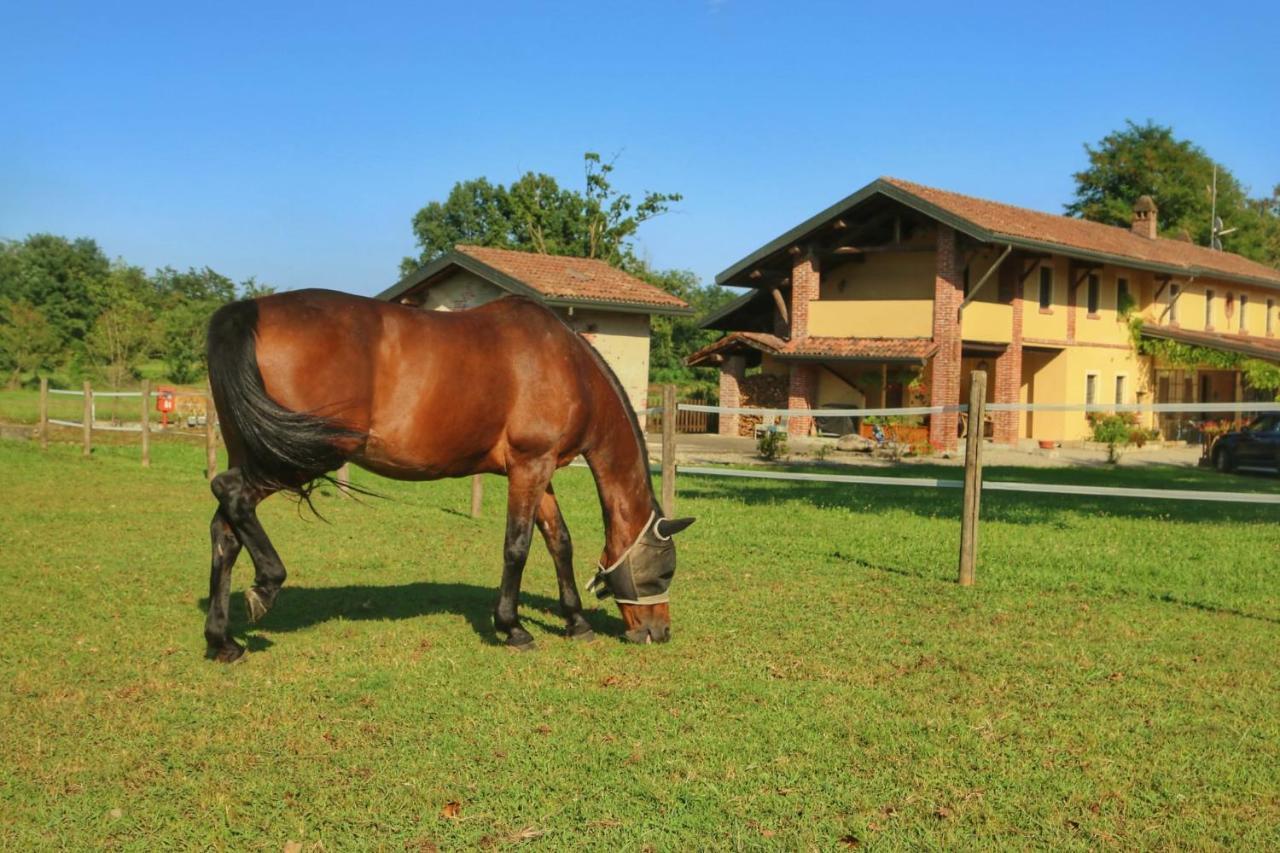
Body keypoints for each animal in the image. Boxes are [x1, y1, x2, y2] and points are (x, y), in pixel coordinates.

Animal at [203, 285, 696, 655]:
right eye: (665, 571)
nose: (659, 632)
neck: (568, 365)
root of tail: (246, 310)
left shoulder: (539, 470)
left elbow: (560, 542)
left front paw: (575, 621)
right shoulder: (529, 465)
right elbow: (517, 547)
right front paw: (512, 627)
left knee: (225, 531)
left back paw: (222, 640)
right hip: (305, 452)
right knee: (230, 493)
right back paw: (267, 585)